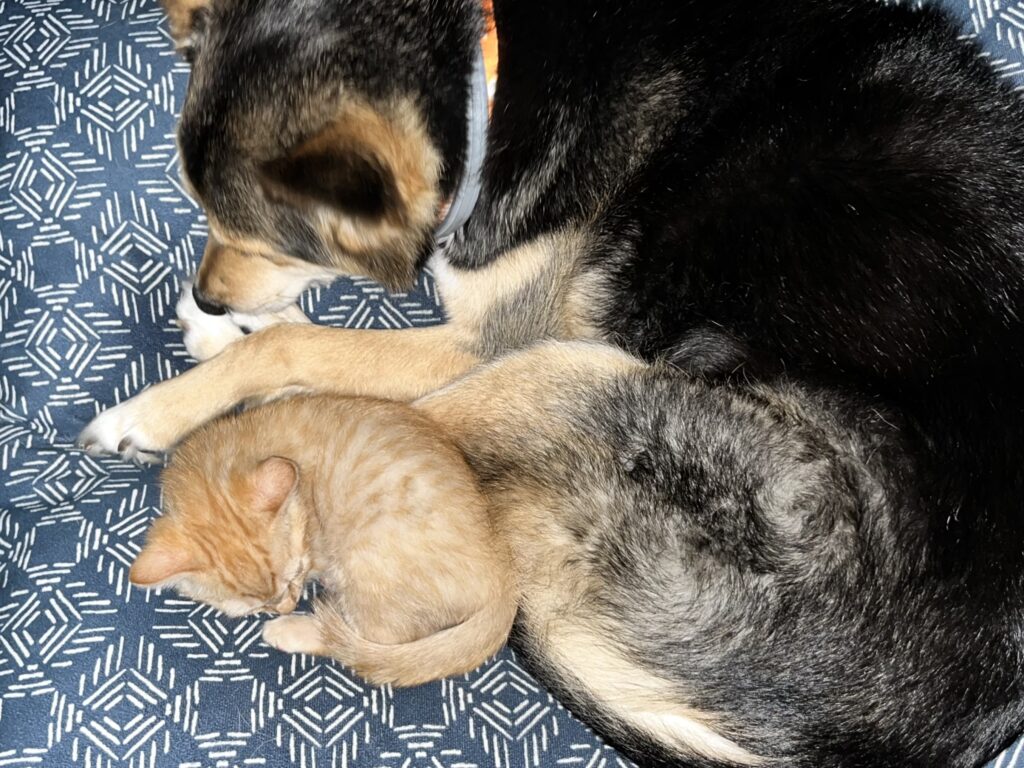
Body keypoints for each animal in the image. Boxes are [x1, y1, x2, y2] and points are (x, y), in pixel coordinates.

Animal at [131, 397, 516, 684]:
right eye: (257, 607)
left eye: (294, 577)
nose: (287, 607)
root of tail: (503, 581)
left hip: (365, 562)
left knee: (370, 641)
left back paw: (292, 631)